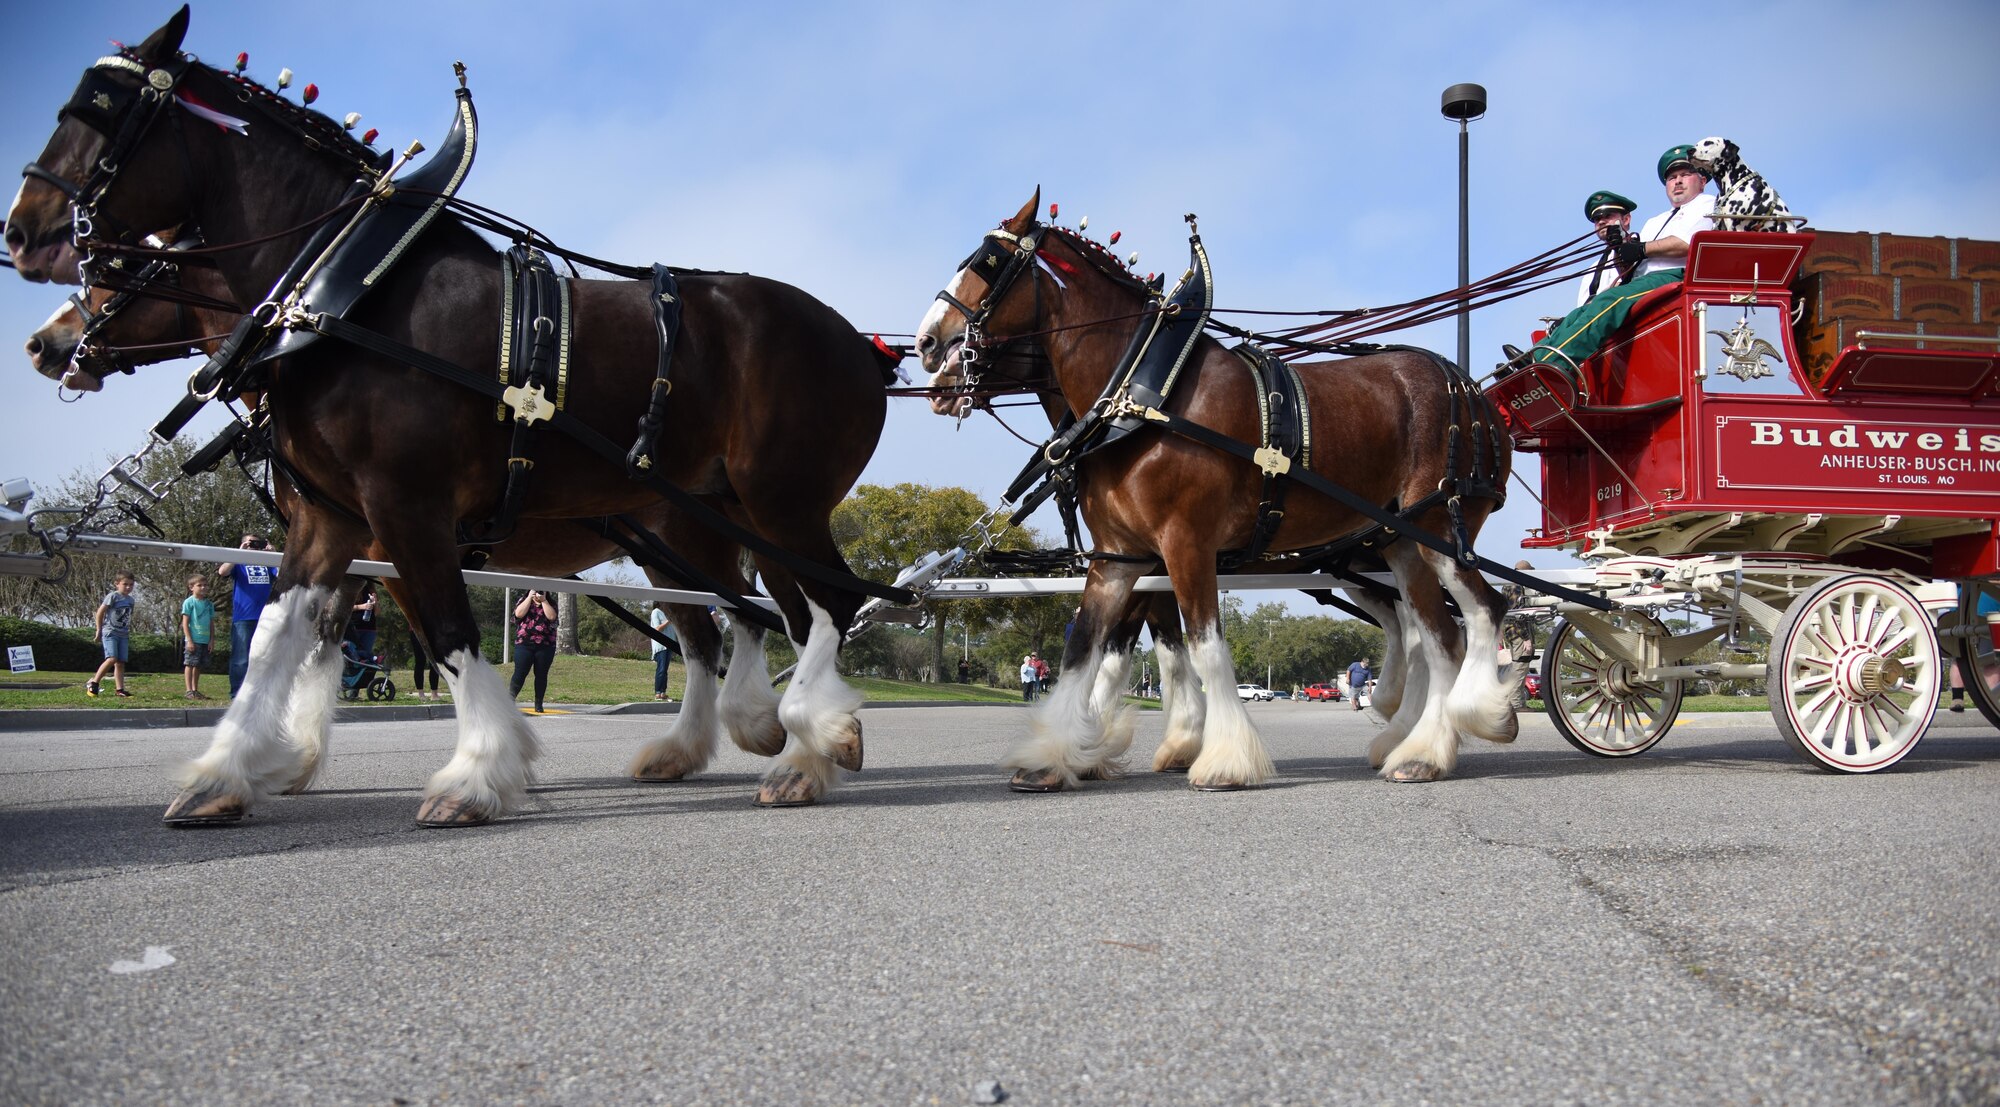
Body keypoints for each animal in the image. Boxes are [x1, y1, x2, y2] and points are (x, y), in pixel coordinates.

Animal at [1, 6, 892, 819]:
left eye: (95, 110)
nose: (22, 237)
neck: (346, 293)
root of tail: (861, 345)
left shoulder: (406, 509)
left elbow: (449, 632)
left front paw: (476, 772)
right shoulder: (332, 520)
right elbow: (280, 638)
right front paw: (232, 769)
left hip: (778, 504)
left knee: (821, 605)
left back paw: (809, 740)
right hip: (714, 521)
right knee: (751, 619)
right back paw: (735, 743)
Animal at [916, 193, 1520, 787]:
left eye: (986, 262)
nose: (927, 347)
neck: (1143, 395)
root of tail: (1471, 393)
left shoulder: (1185, 543)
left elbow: (1200, 647)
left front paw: (1220, 757)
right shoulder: (1120, 557)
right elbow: (1087, 648)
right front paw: (1059, 754)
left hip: (1436, 532)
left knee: (1478, 613)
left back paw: (1468, 720)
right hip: (1395, 547)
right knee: (1433, 637)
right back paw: (1416, 743)